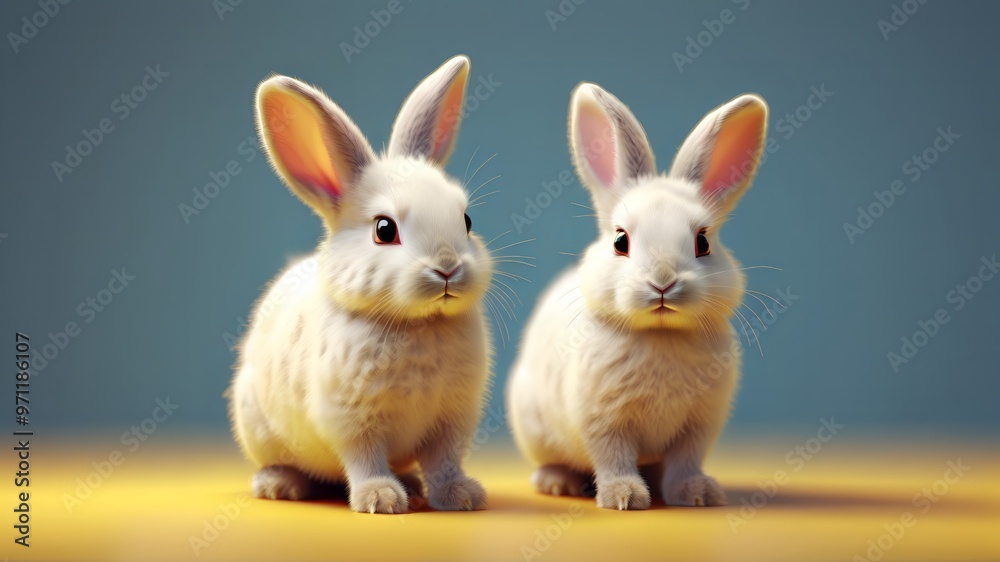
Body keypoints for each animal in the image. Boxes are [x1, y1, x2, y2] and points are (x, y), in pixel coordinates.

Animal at [228, 55, 494, 514]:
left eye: (466, 220)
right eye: (384, 230)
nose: (447, 268)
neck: (418, 324)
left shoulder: (450, 420)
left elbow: (444, 462)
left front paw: (461, 496)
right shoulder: (352, 419)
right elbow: (364, 458)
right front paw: (381, 499)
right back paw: (280, 485)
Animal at [507, 83, 768, 510]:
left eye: (703, 242)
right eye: (620, 241)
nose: (662, 281)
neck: (660, 335)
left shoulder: (698, 425)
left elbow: (685, 462)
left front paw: (698, 494)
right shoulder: (604, 421)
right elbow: (613, 458)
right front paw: (624, 497)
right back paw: (557, 483)